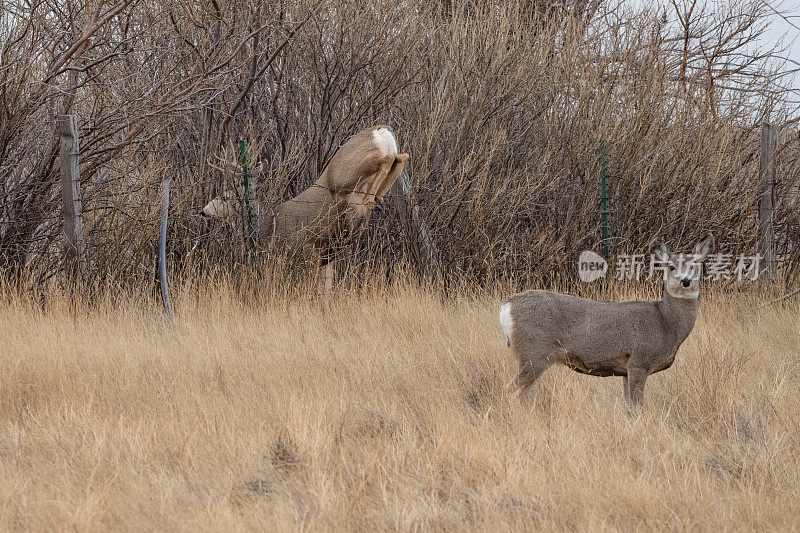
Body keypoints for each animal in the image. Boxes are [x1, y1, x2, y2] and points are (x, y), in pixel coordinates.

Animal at [200, 125, 412, 288]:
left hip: (344, 174)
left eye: (225, 197)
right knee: (402, 156)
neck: (267, 223)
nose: (204, 211)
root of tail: (380, 129)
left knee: (388, 159)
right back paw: (377, 197)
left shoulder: (305, 250)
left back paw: (371, 198)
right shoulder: (326, 259)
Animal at [504, 235, 716, 414]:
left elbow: (629, 407)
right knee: (509, 390)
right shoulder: (639, 361)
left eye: (695, 265)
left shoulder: (626, 371)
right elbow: (637, 407)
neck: (666, 324)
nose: (686, 281)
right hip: (534, 352)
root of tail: (507, 307)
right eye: (671, 267)